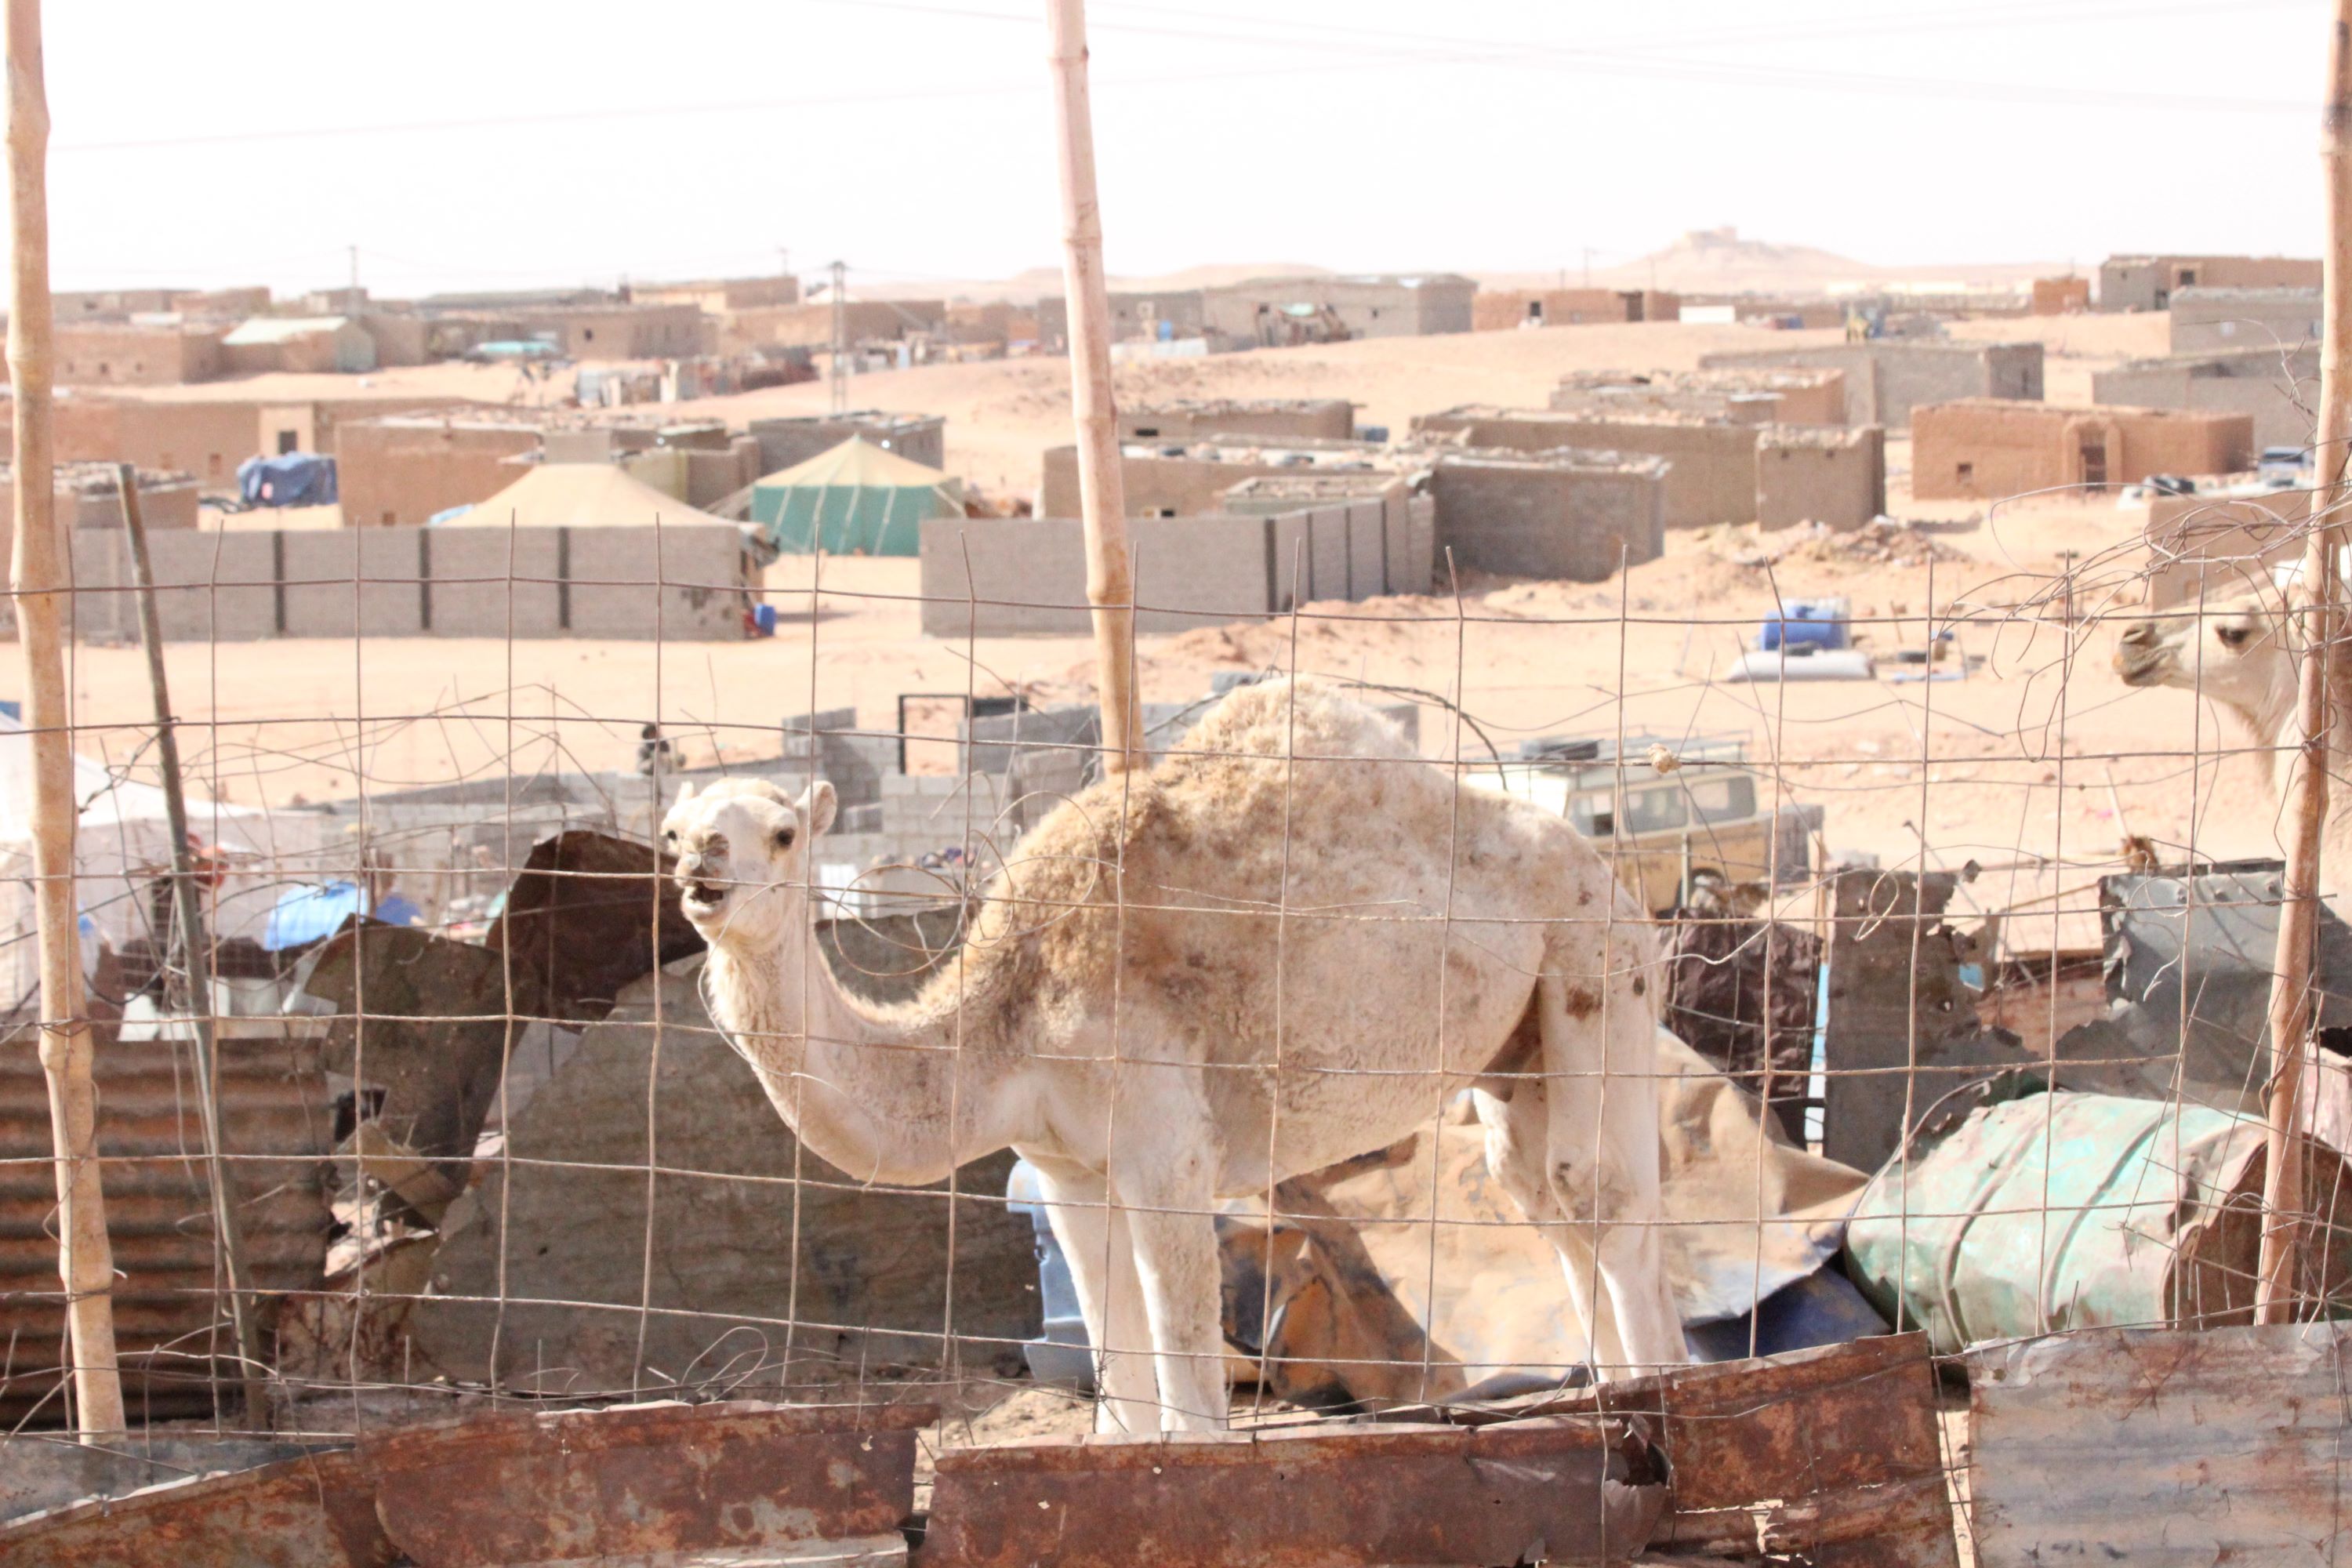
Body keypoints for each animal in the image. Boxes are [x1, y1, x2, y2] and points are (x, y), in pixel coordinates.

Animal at [661, 677, 1684, 1433]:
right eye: (674, 830)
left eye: (784, 832)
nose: (702, 864)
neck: (1009, 1019)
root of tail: (1604, 865)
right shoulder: (1066, 1168)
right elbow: (1121, 1407)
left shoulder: (1167, 1151)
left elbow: (1191, 1406)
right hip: (1515, 1046)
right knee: (1539, 1192)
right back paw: (1619, 1392)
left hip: (1599, 962)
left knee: (1596, 1188)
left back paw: (1656, 1399)